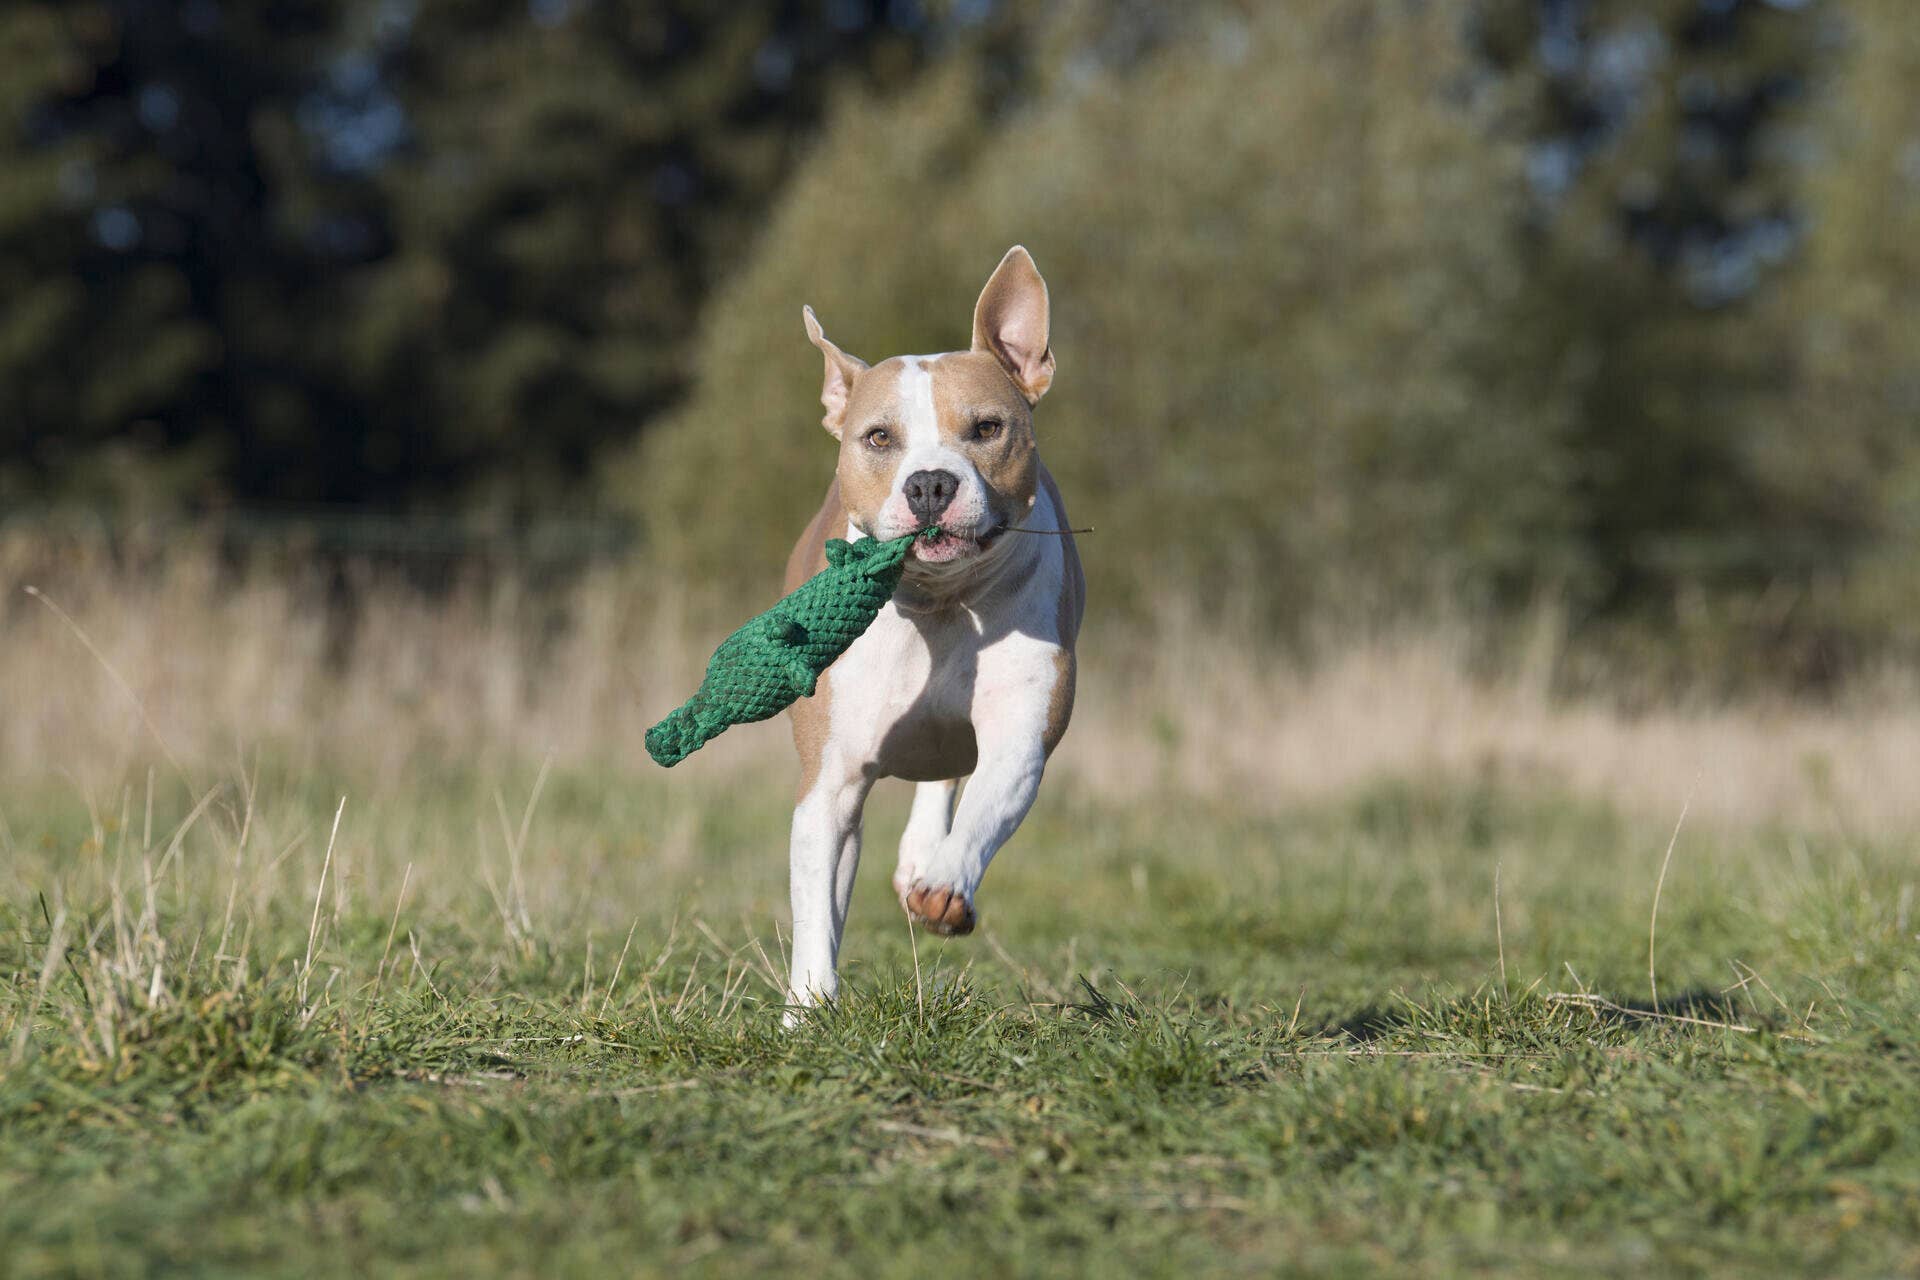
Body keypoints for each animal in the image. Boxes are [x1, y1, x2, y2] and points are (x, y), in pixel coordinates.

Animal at [775, 245, 1082, 1013]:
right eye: (879, 437)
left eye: (987, 428)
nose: (931, 483)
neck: (941, 607)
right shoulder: (830, 783)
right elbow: (816, 901)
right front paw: (809, 1006)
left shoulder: (1020, 734)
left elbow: (985, 807)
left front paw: (942, 884)